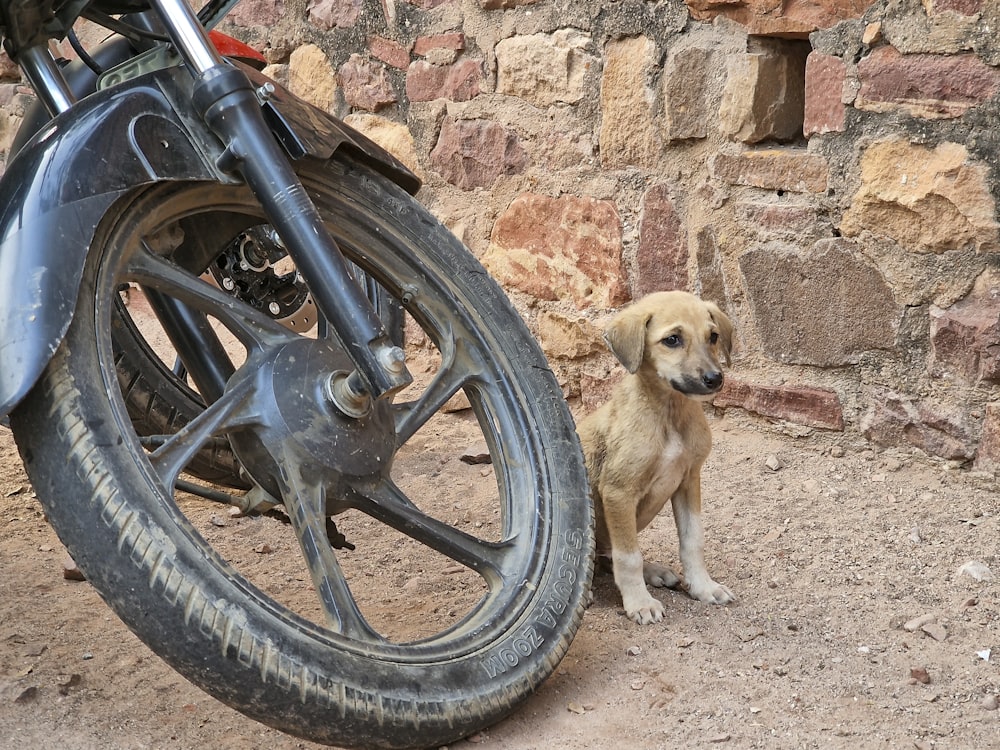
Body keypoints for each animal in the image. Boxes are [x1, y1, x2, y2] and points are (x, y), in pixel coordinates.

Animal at [580, 290, 736, 624]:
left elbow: (693, 541)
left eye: (713, 336)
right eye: (672, 339)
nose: (715, 379)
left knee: (606, 555)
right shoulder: (618, 493)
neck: (669, 413)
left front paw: (703, 587)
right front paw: (639, 602)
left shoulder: (689, 481)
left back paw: (654, 573)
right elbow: (629, 557)